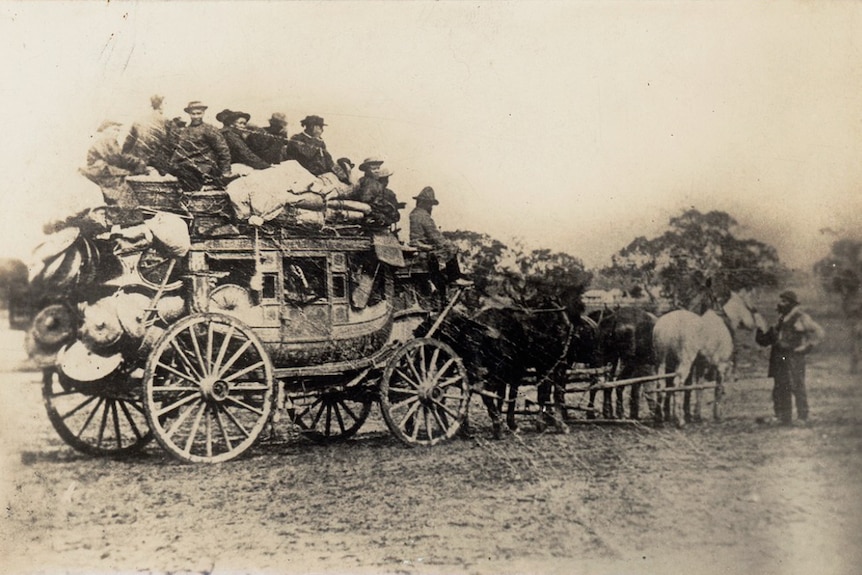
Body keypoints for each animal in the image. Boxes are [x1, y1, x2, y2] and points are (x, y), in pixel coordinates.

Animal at [652, 290, 768, 426]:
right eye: (753, 309)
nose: (763, 328)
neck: (725, 322)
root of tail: (666, 325)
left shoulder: (701, 366)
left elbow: (699, 389)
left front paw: (697, 415)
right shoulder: (721, 366)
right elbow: (718, 389)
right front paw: (717, 415)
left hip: (662, 361)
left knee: (660, 384)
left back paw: (660, 418)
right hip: (684, 362)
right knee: (677, 384)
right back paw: (679, 419)